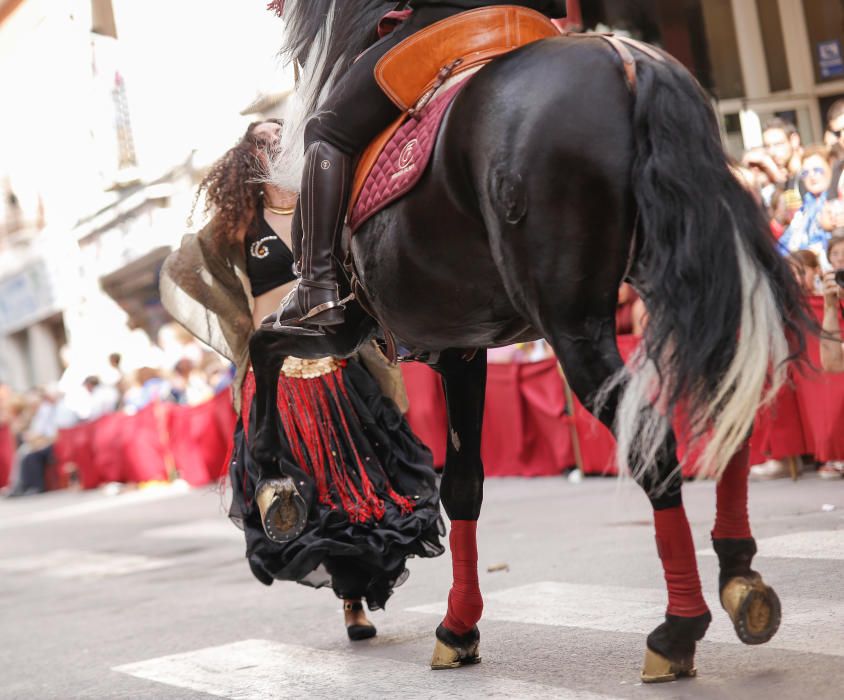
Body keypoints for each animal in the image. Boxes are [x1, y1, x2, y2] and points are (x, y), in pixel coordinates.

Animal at [247, 0, 808, 688]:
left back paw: (678, 630)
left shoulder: (345, 327)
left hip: (573, 326)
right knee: (729, 393)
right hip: (684, 274)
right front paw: (458, 627)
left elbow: (263, 347)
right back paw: (740, 579)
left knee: (654, 445)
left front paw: (275, 486)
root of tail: (625, 60)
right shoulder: (461, 347)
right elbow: (463, 484)